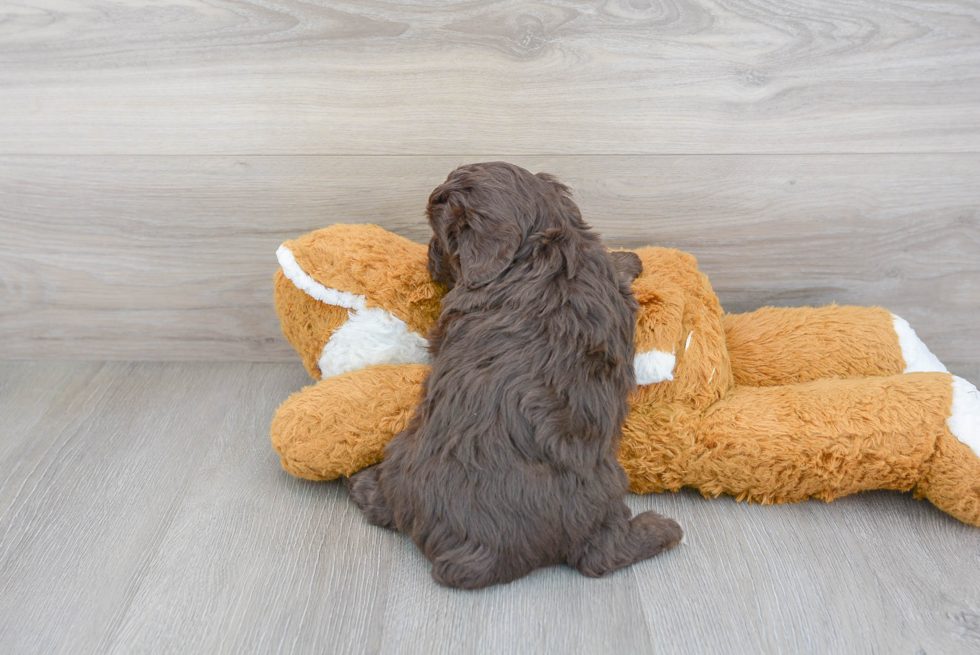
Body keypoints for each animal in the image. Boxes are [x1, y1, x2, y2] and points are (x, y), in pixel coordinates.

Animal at [344, 164, 680, 588]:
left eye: (441, 237)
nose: (428, 256)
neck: (541, 248)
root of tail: (480, 553)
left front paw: (629, 258)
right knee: (601, 556)